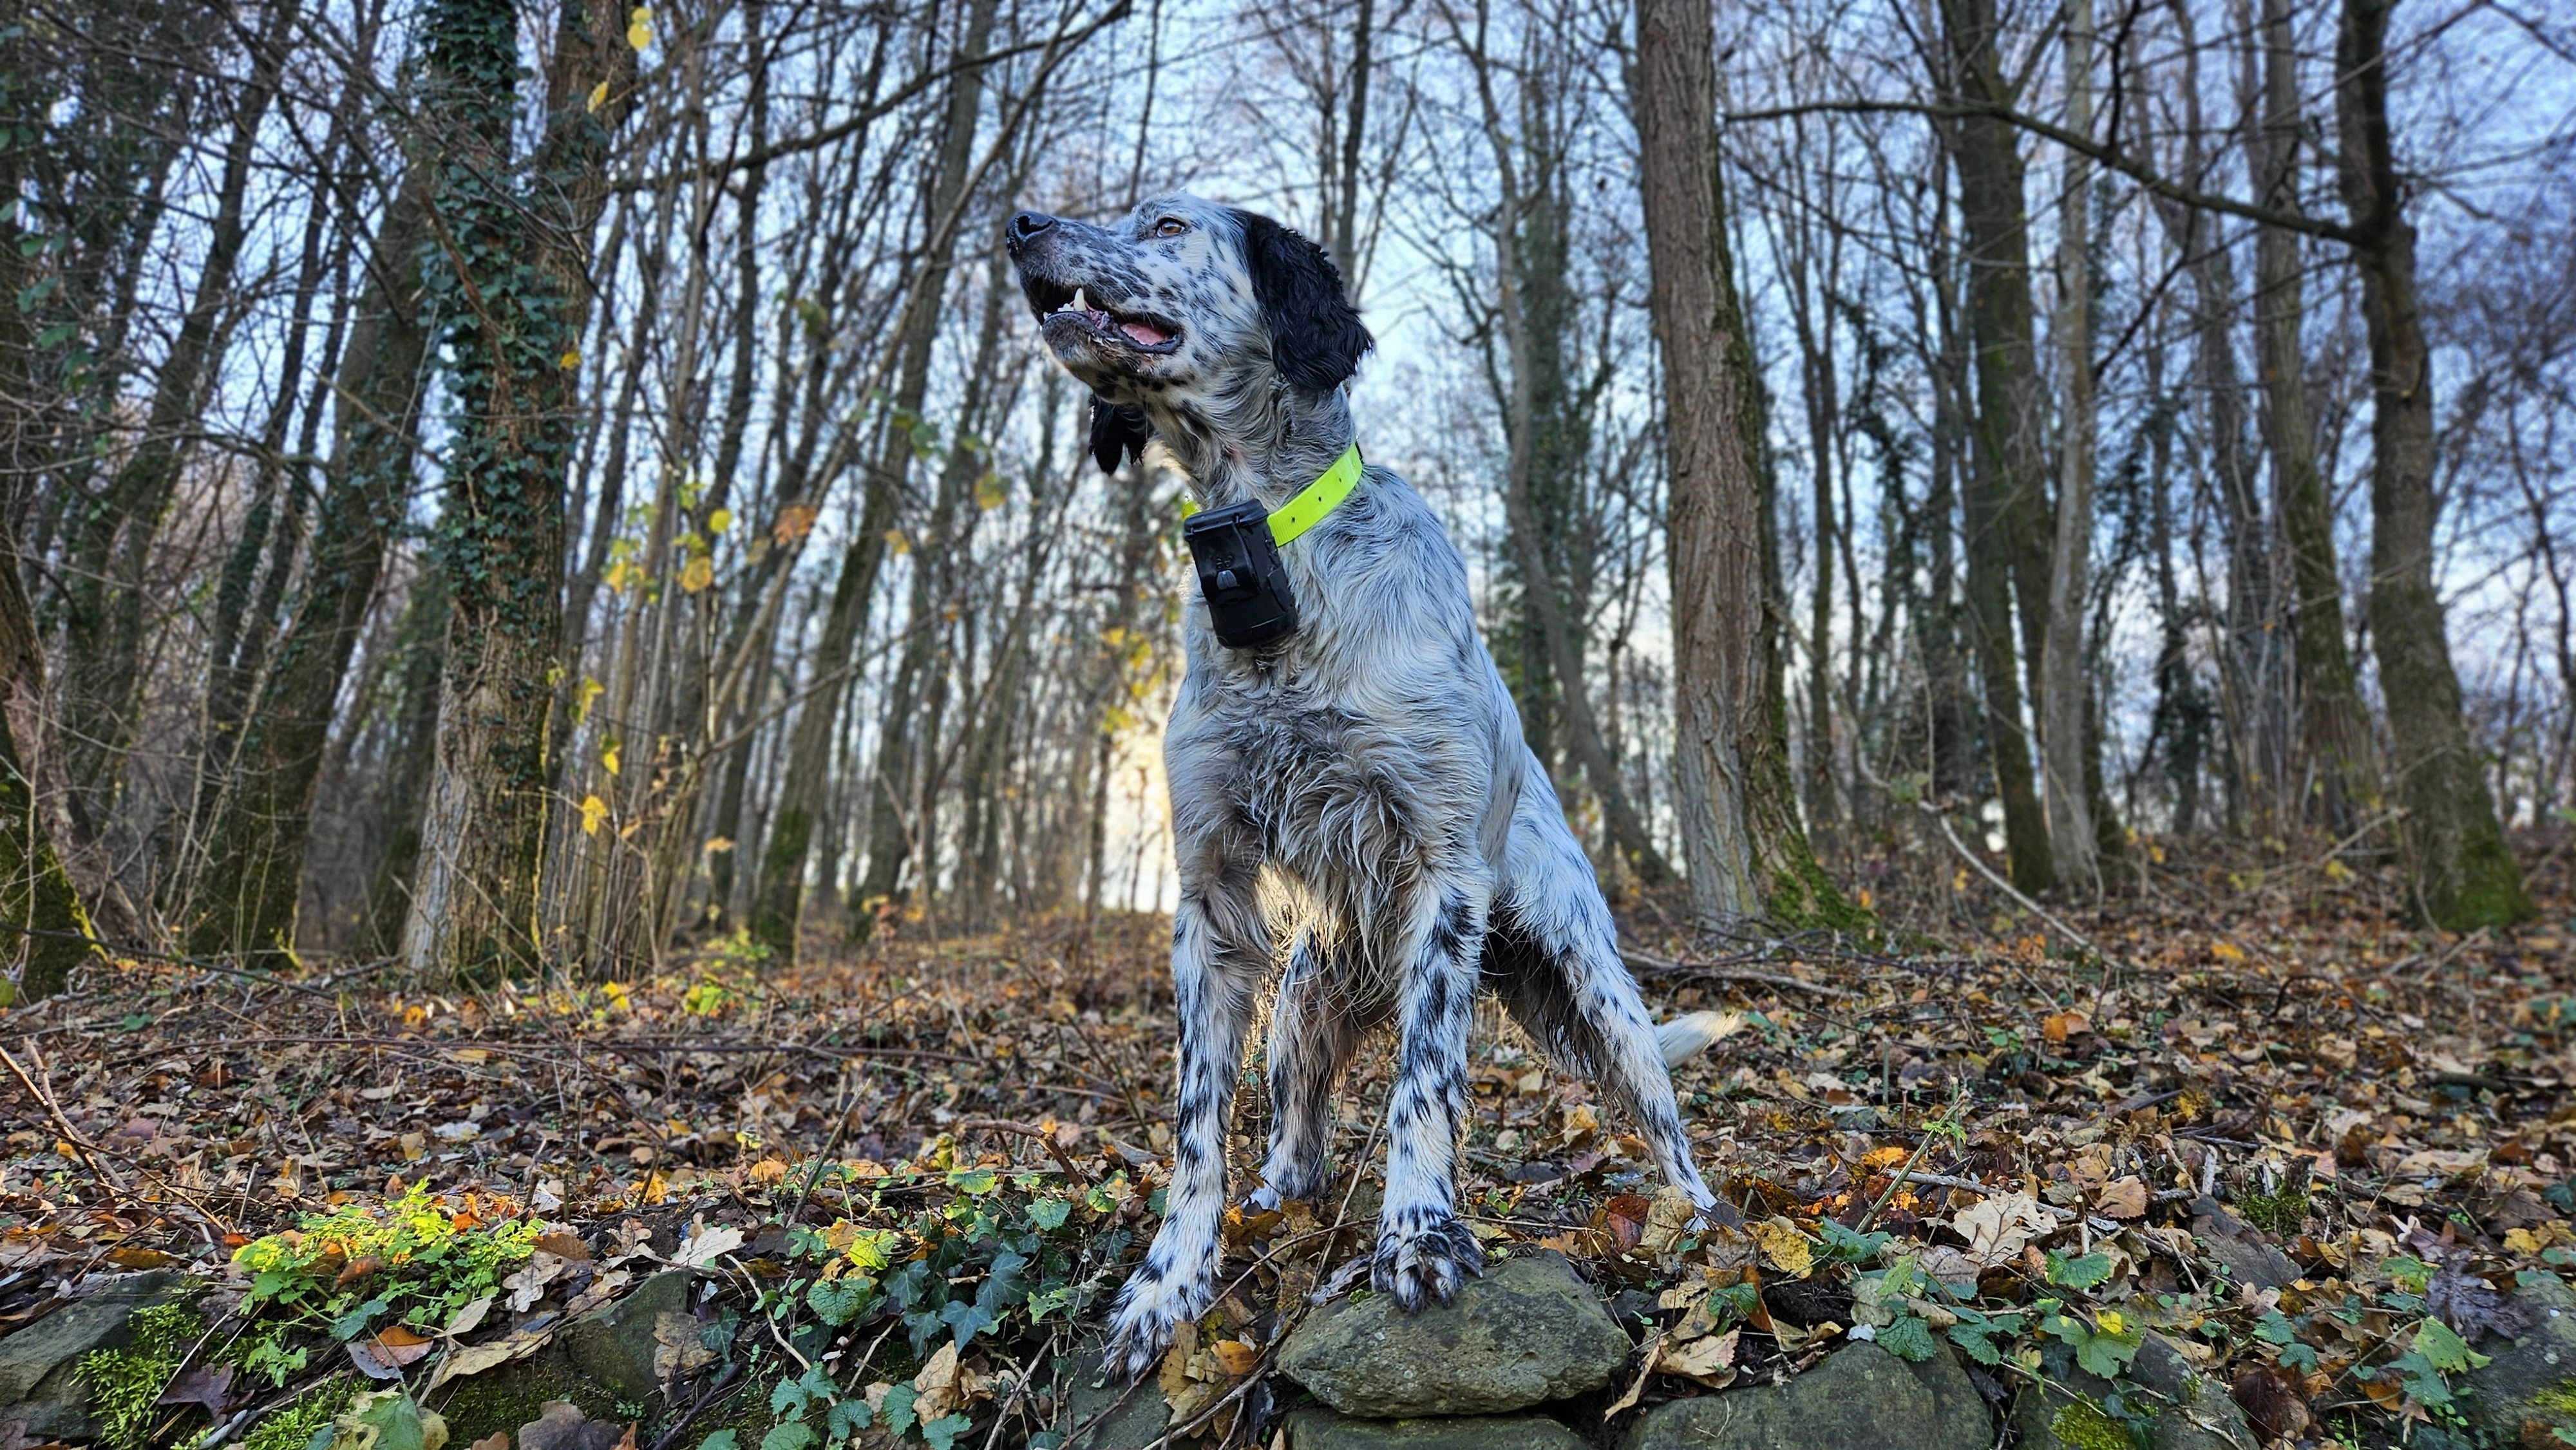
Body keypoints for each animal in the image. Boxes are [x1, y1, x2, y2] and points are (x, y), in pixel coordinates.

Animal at [1005, 198, 1731, 1380]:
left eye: (1166, 221)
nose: (1023, 222)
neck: (1272, 562)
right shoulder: (1210, 899)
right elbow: (1195, 1129)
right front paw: (1169, 1286)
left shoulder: (1442, 877)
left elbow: (1422, 1086)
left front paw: (1420, 1233)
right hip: (1300, 1009)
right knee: (1296, 1146)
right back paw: (1272, 1203)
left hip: (1601, 995)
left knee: (1670, 1132)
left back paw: (1712, 1228)